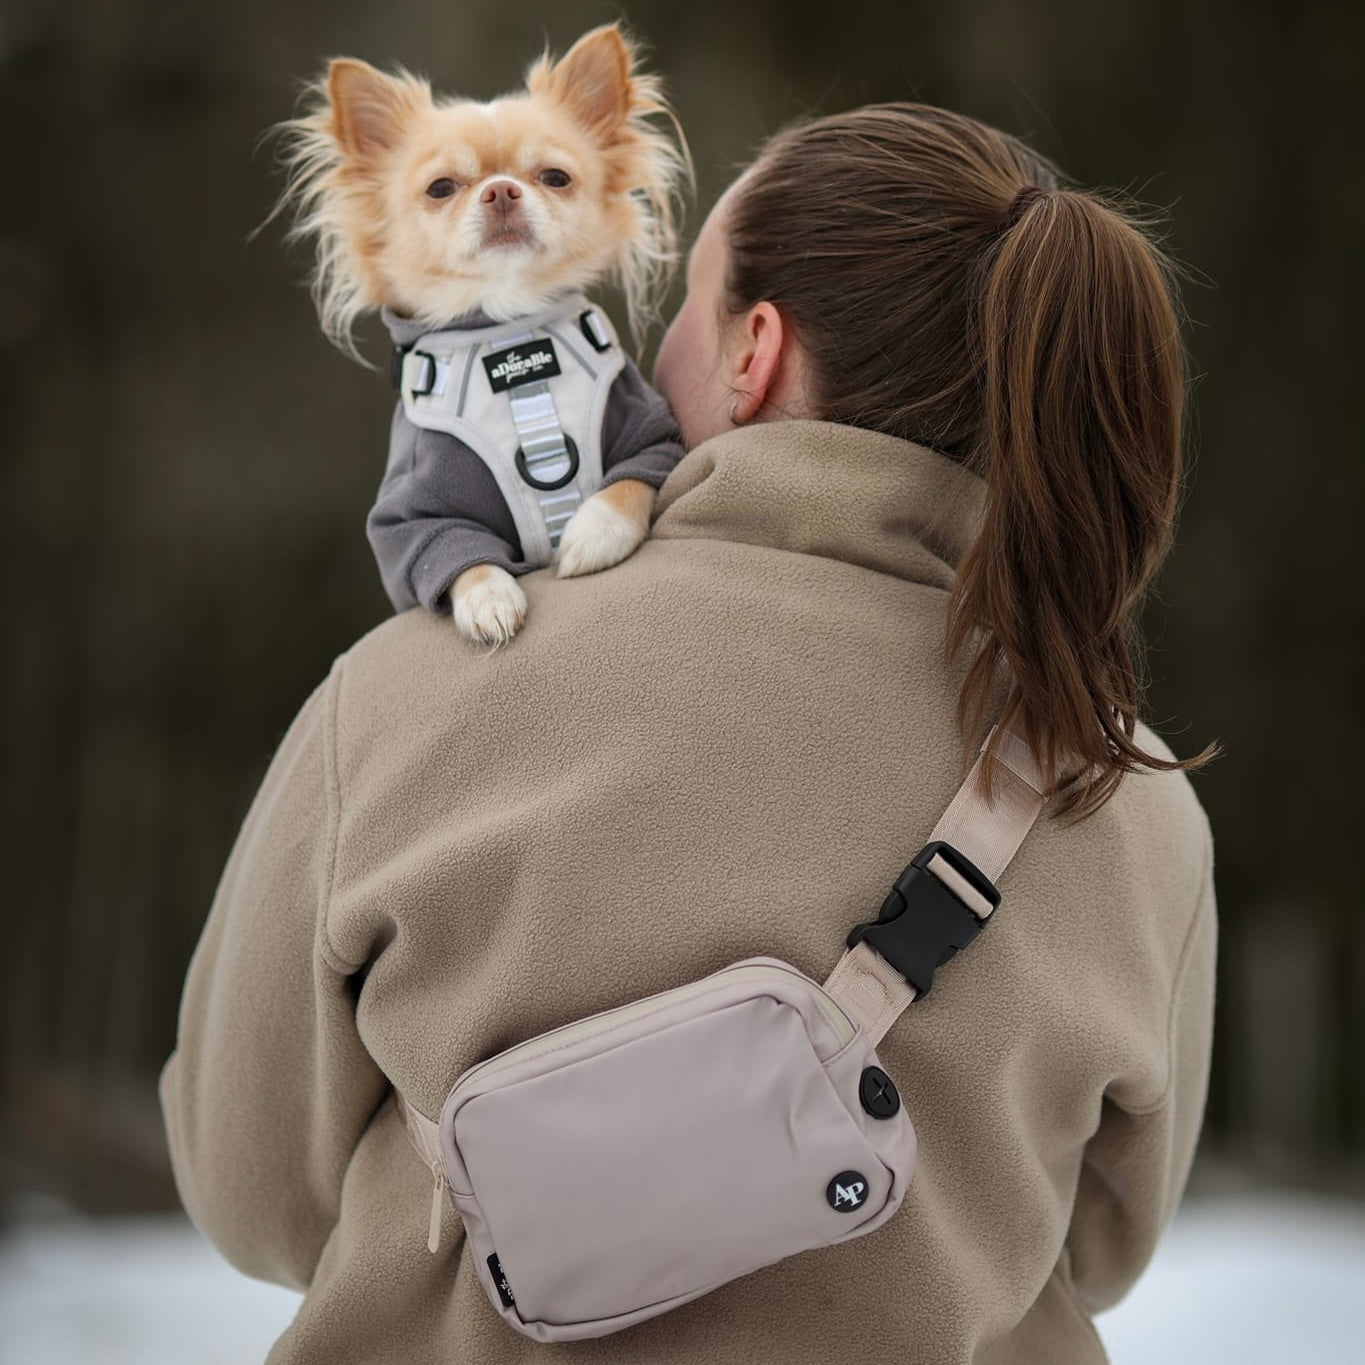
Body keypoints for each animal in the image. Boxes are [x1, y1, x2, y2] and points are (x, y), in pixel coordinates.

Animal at [268, 25, 693, 644]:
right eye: (441, 187)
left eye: (555, 178)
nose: (501, 190)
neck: (508, 337)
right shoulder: (413, 521)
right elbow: (456, 558)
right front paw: (488, 599)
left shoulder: (650, 435)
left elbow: (628, 483)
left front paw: (592, 534)